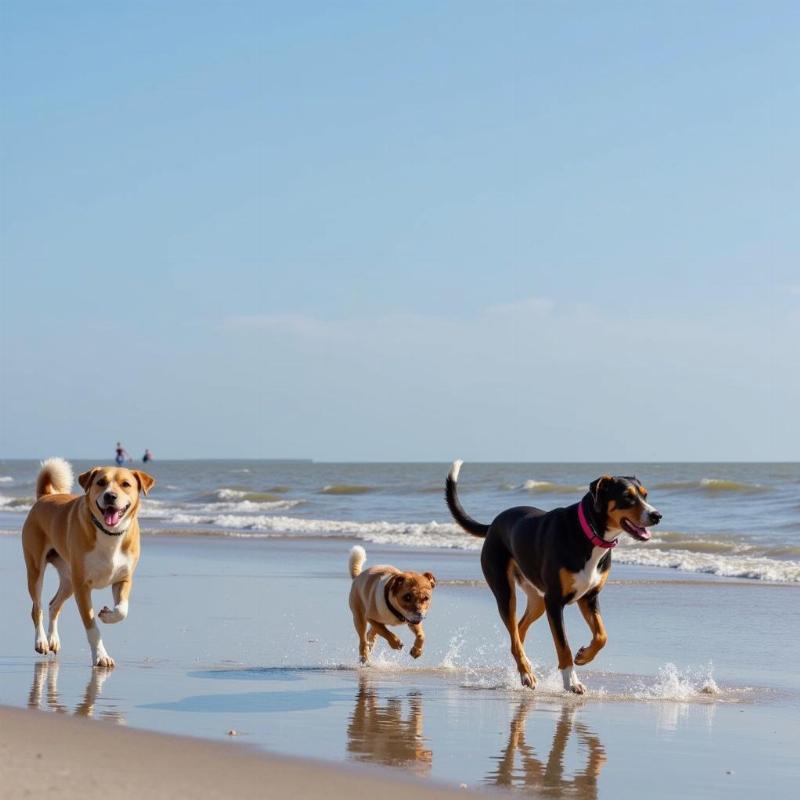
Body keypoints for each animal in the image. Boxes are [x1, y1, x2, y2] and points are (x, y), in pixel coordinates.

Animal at [20, 456, 155, 668]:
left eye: (125, 484)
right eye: (101, 482)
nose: (110, 496)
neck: (110, 534)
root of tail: (45, 496)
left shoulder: (123, 579)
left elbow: (122, 610)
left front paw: (107, 614)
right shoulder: (82, 587)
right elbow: (92, 627)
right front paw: (101, 656)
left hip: (69, 580)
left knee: (53, 605)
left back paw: (53, 639)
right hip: (36, 570)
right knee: (37, 607)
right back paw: (41, 641)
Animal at [444, 462, 664, 692]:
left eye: (645, 495)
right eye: (627, 496)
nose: (657, 515)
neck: (590, 534)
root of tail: (494, 523)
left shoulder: (589, 598)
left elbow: (602, 635)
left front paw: (583, 656)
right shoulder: (555, 602)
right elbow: (563, 646)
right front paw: (572, 682)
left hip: (538, 600)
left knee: (517, 634)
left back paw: (525, 666)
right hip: (506, 592)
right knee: (514, 634)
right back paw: (526, 673)